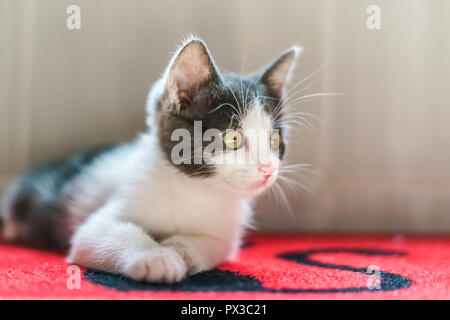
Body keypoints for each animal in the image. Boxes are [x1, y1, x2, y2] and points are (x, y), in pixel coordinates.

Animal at [2, 37, 302, 282]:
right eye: (233, 139)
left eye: (274, 140)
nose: (267, 169)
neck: (195, 189)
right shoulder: (104, 216)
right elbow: (103, 234)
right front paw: (155, 257)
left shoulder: (225, 233)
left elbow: (210, 243)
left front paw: (181, 249)